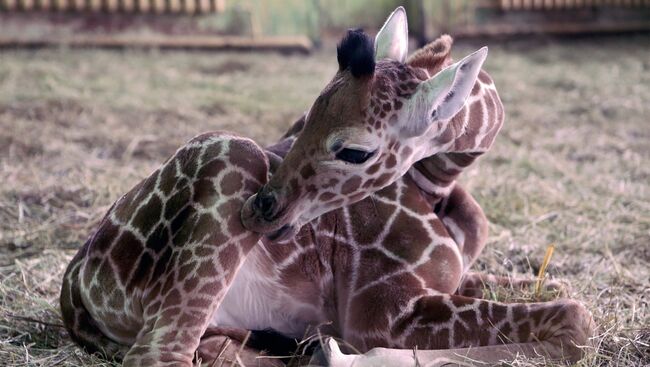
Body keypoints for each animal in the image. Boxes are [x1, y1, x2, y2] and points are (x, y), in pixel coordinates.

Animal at [60, 7, 592, 366]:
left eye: (354, 151)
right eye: (306, 115)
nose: (261, 209)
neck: (439, 183)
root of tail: (73, 284)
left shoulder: (449, 279)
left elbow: (560, 287)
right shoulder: (380, 311)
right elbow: (576, 318)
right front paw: (342, 353)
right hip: (233, 156)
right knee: (158, 354)